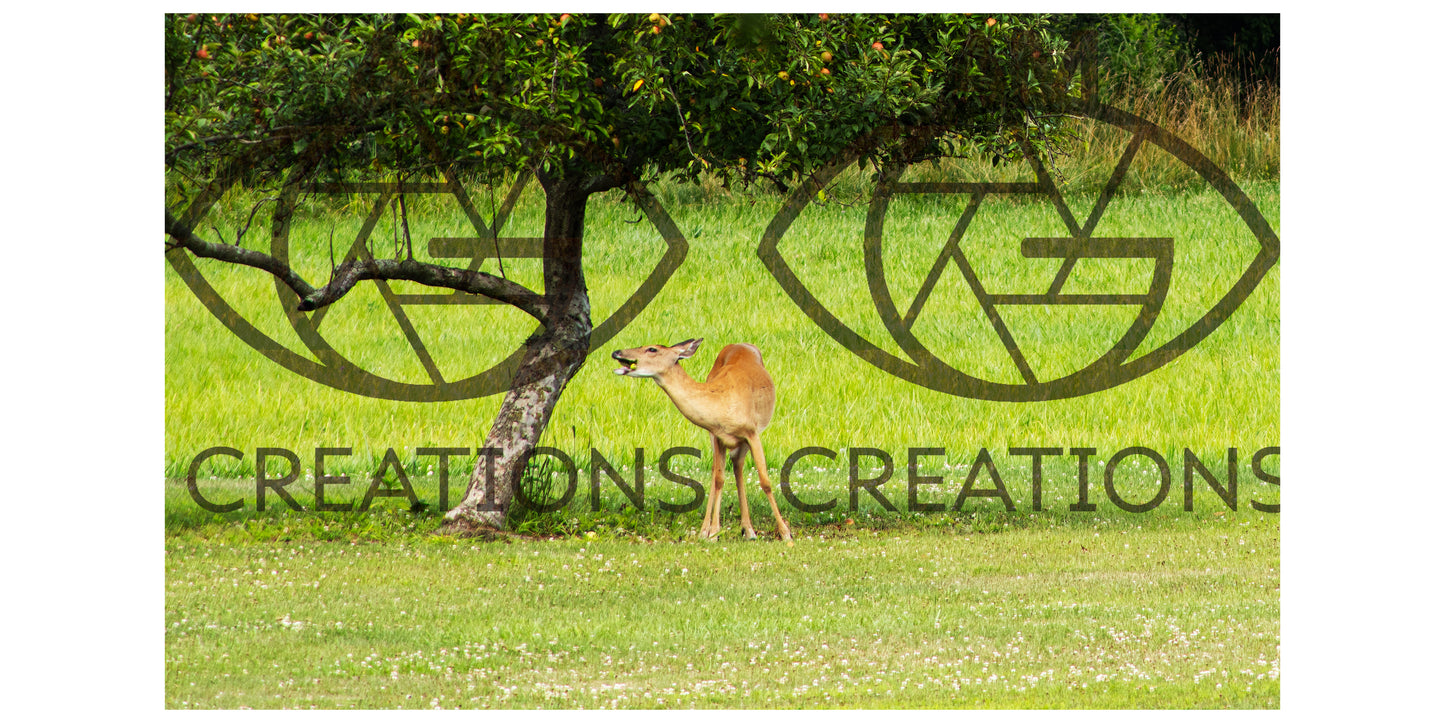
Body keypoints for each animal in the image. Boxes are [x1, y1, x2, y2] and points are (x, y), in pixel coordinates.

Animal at [612, 339, 793, 545]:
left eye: (652, 349)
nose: (617, 352)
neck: (722, 402)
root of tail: (740, 344)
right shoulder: (718, 435)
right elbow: (719, 479)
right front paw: (713, 532)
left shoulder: (752, 432)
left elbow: (765, 481)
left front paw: (785, 533)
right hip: (715, 437)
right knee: (722, 472)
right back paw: (715, 530)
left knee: (737, 466)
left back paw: (748, 530)